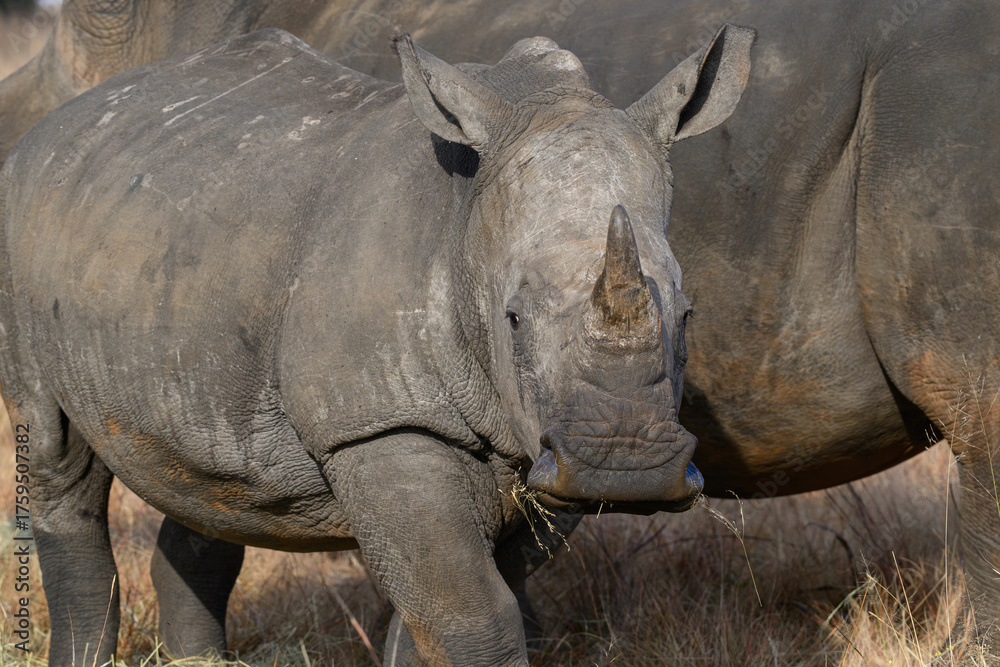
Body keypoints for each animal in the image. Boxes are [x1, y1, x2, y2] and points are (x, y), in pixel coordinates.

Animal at [5, 0, 998, 652]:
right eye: (512, 318)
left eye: (688, 312)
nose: (627, 468)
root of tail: (70, 115)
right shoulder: (384, 422)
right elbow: (470, 614)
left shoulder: (544, 443)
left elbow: (474, 604)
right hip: (26, 210)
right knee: (56, 459)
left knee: (214, 472)